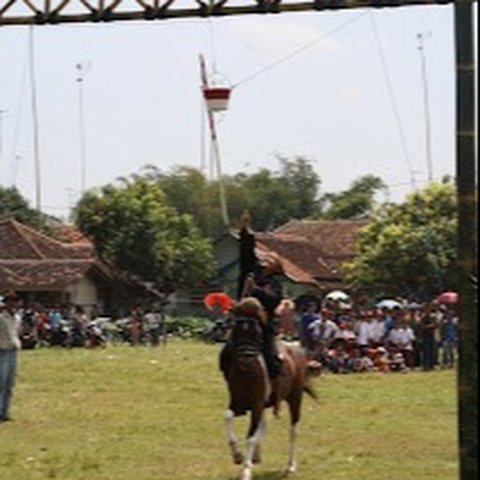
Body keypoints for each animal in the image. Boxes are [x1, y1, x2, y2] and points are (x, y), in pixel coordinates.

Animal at [224, 306, 318, 478]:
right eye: (236, 331)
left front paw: (246, 471)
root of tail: (295, 347)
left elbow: (251, 437)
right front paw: (237, 455)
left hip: (295, 398)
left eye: (256, 333)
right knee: (263, 426)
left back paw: (290, 466)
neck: (247, 374)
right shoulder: (237, 402)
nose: (245, 358)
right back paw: (256, 455)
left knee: (293, 430)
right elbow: (227, 416)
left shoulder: (256, 405)